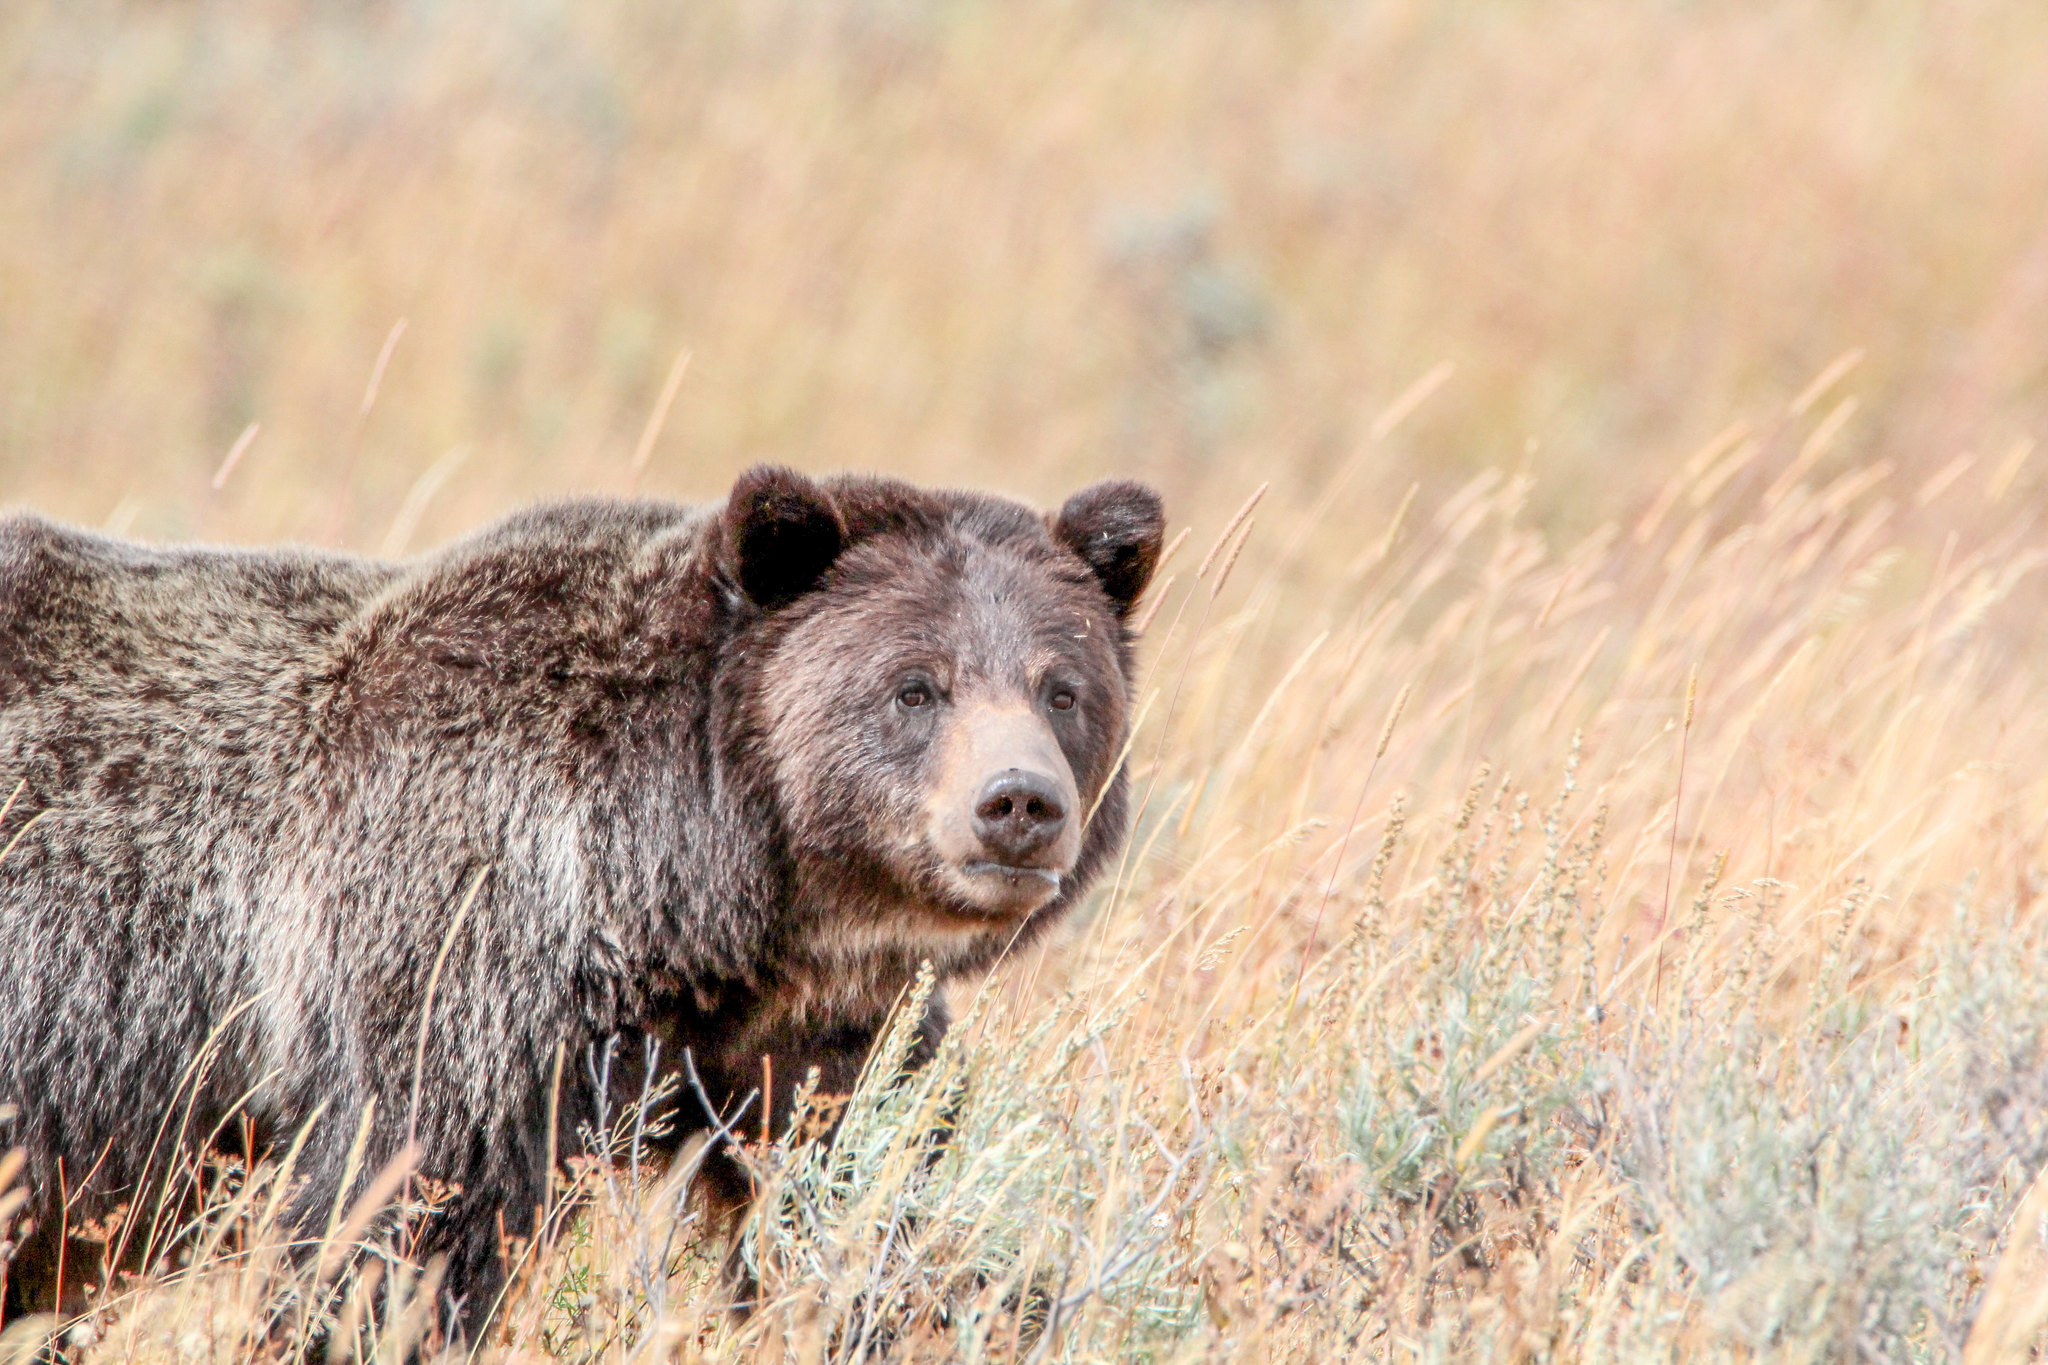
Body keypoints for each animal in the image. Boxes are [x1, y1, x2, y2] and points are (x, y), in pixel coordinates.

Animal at [0, 464, 1163, 1342]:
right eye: (915, 686)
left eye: (1061, 688)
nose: (1019, 803)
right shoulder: (448, 959)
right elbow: (394, 1227)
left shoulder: (812, 1040)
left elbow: (869, 1204)